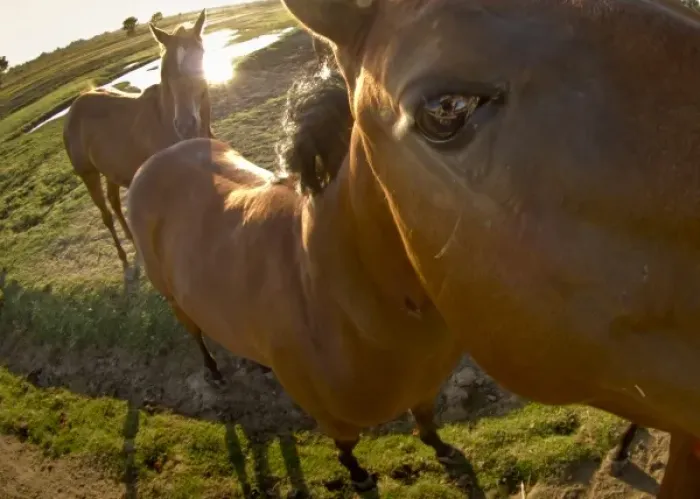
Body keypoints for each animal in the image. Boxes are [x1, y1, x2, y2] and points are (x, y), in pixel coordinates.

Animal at [63, 9, 213, 284]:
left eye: (200, 56)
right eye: (166, 70)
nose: (185, 124)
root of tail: (75, 106)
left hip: (111, 170)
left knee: (115, 203)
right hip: (89, 175)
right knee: (106, 215)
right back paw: (125, 261)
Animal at [127, 67, 465, 491]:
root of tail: (152, 163)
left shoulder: (424, 388)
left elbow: (426, 420)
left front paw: (443, 449)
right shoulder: (330, 415)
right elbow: (347, 446)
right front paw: (359, 477)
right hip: (174, 300)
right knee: (195, 334)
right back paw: (215, 373)